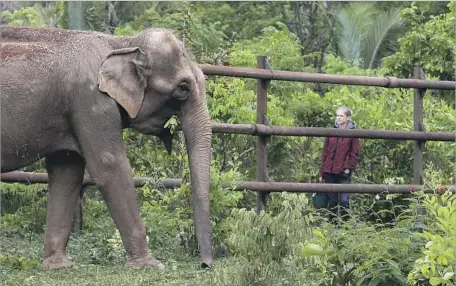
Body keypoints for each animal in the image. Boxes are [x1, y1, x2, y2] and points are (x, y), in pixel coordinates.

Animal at [0, 25, 213, 270]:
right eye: (183, 88)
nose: (205, 265)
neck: (120, 43)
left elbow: (66, 172)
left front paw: (58, 266)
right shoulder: (91, 101)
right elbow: (110, 167)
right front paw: (150, 265)